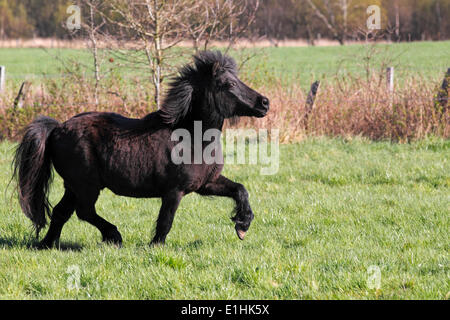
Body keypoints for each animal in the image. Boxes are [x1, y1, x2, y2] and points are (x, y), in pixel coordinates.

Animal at [12, 51, 268, 249]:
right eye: (229, 84)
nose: (264, 103)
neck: (193, 138)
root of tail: (57, 128)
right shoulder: (174, 191)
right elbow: (165, 221)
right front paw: (155, 246)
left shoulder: (206, 183)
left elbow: (240, 189)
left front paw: (243, 225)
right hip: (86, 185)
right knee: (83, 211)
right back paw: (113, 236)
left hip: (73, 186)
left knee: (60, 212)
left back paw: (47, 244)